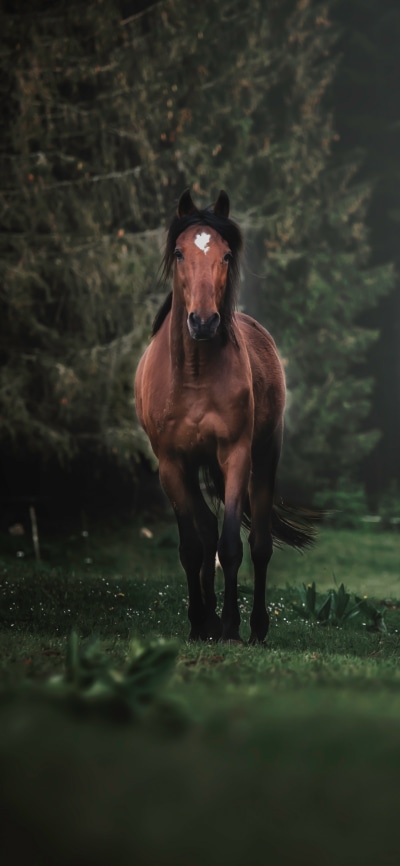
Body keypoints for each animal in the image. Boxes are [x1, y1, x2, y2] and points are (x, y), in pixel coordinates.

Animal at [135, 189, 316, 644]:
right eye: (179, 252)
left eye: (227, 255)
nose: (203, 321)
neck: (195, 374)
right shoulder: (172, 464)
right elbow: (192, 546)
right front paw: (201, 622)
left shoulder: (235, 456)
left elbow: (232, 545)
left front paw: (231, 627)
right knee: (204, 529)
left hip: (265, 457)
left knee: (260, 544)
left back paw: (256, 628)